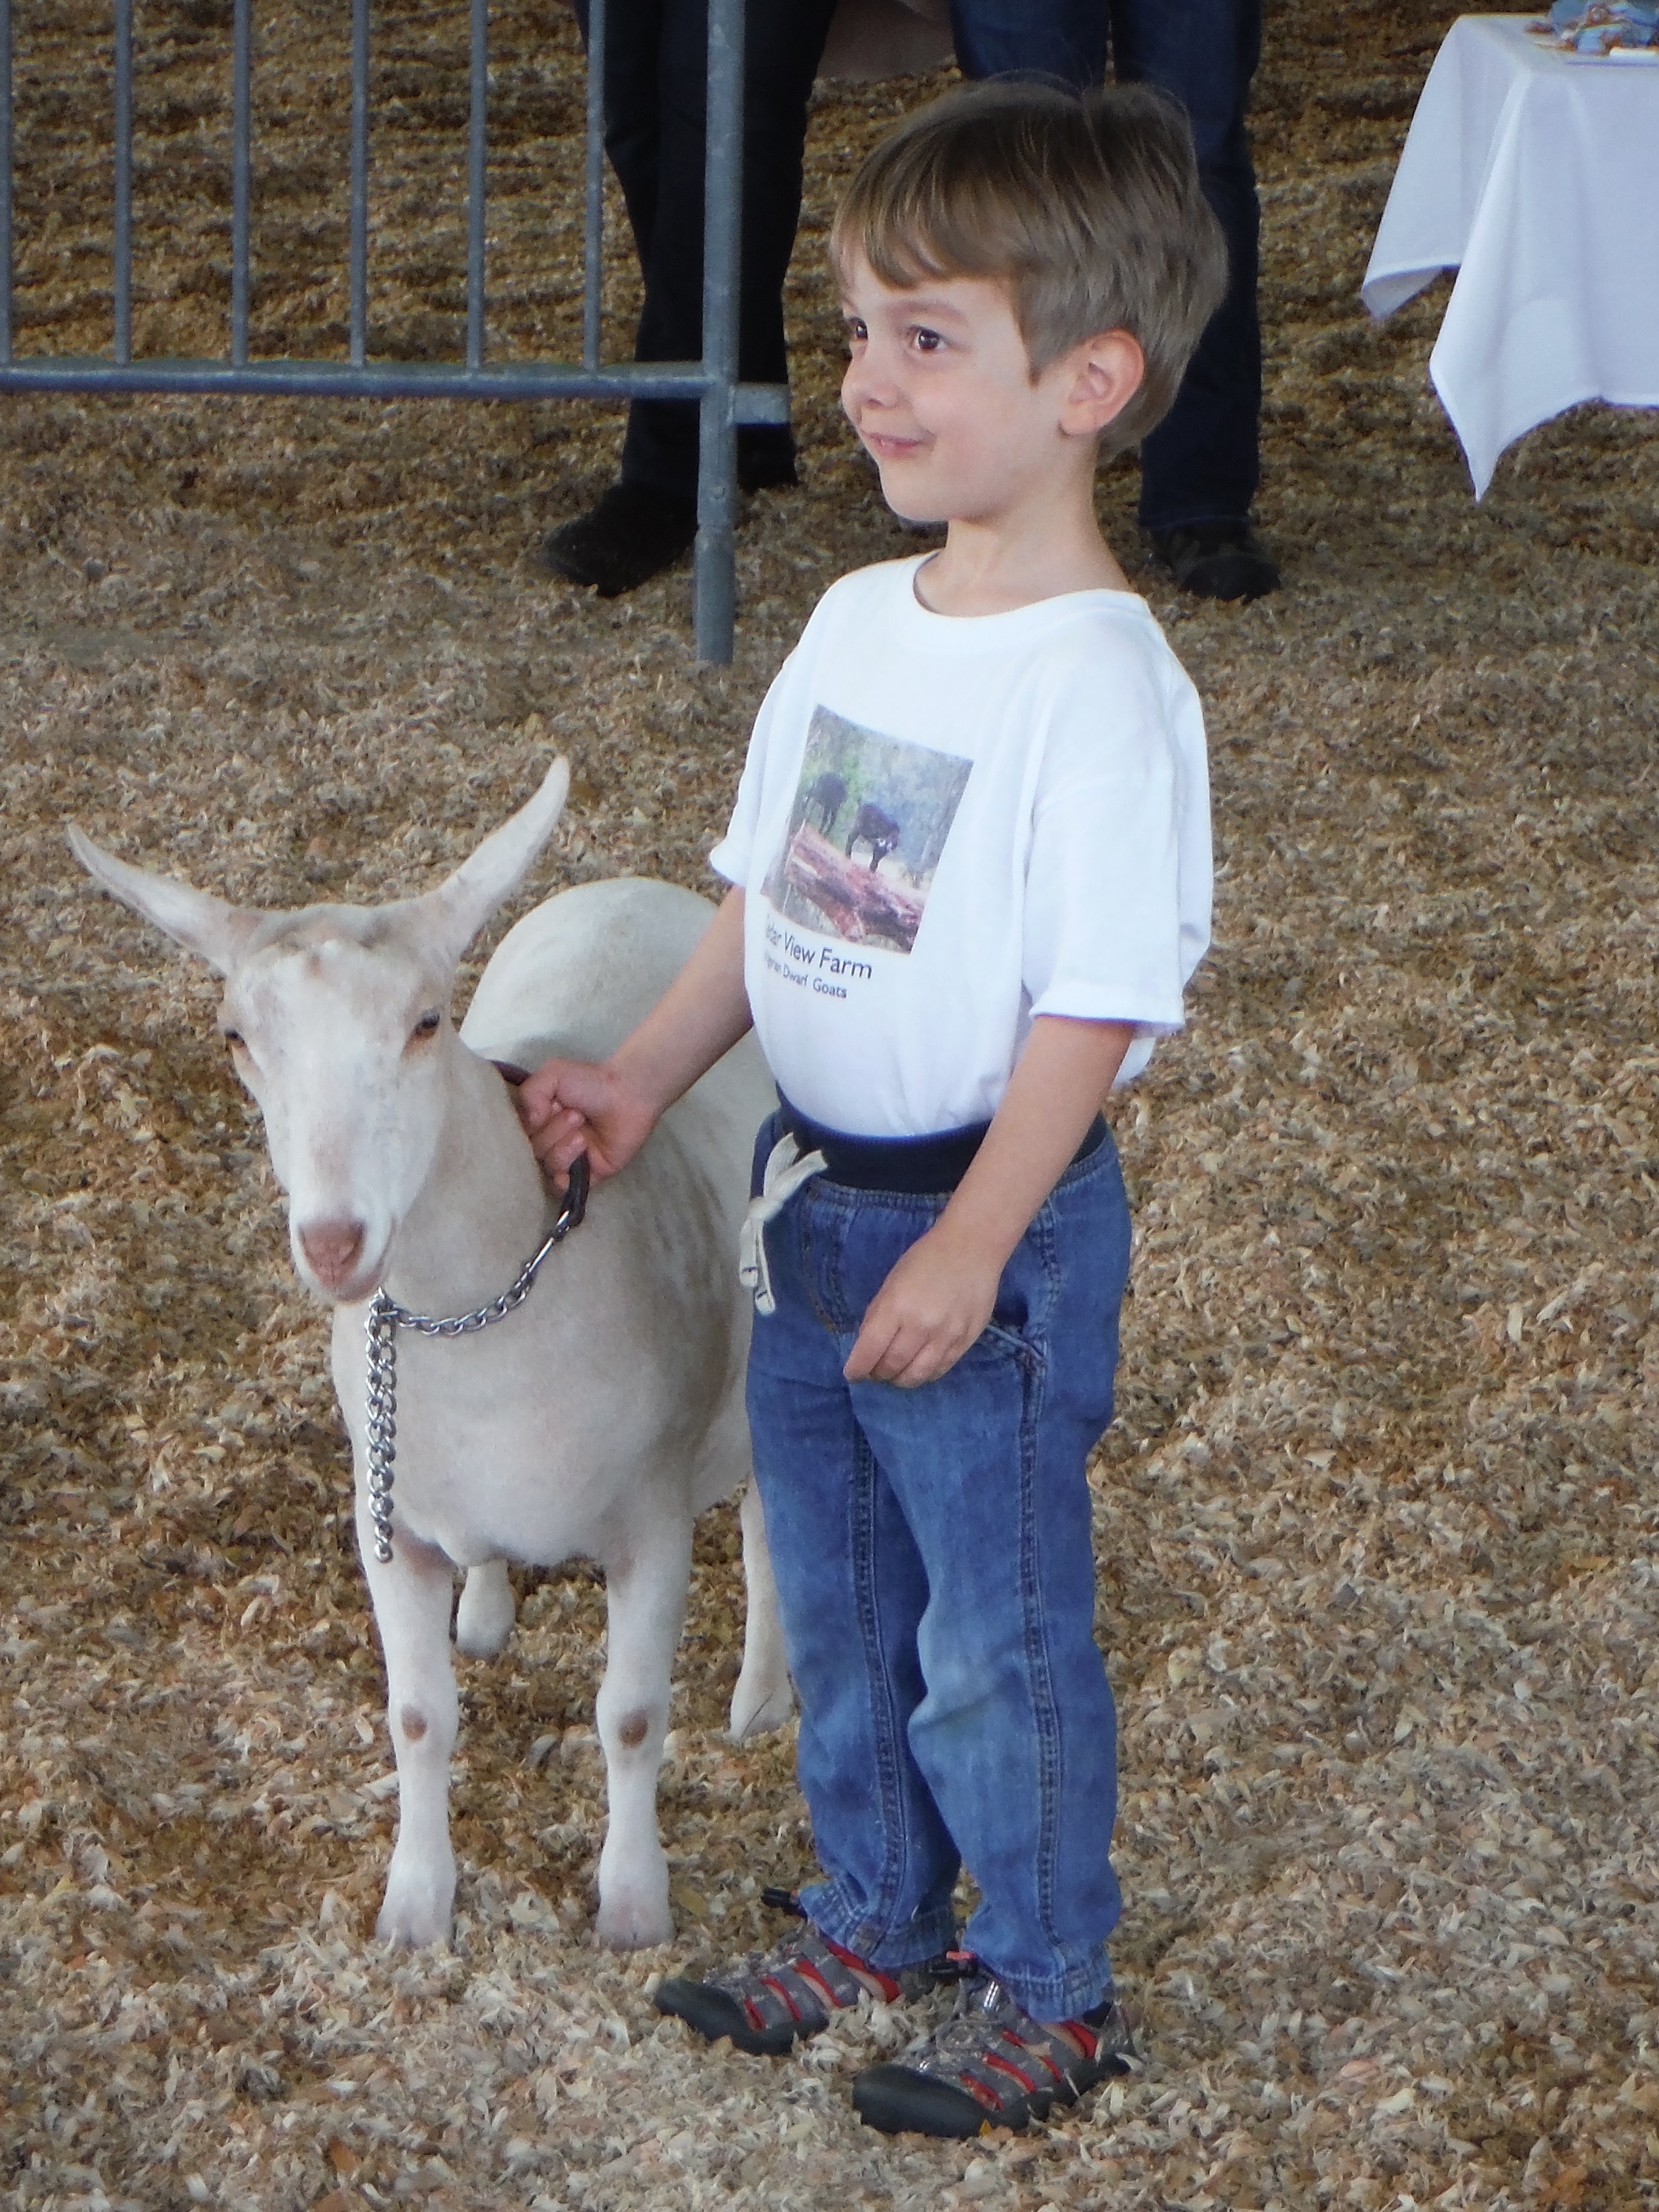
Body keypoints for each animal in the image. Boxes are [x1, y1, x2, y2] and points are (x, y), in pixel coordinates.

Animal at [69, 759, 792, 1950]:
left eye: (423, 1022)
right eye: (235, 1039)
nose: (334, 1240)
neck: (481, 1312)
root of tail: (629, 885)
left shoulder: (649, 1520)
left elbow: (631, 1717)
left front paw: (632, 1905)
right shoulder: (389, 1519)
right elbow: (416, 1716)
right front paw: (414, 1907)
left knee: (772, 1522)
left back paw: (763, 1695)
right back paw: (488, 1610)